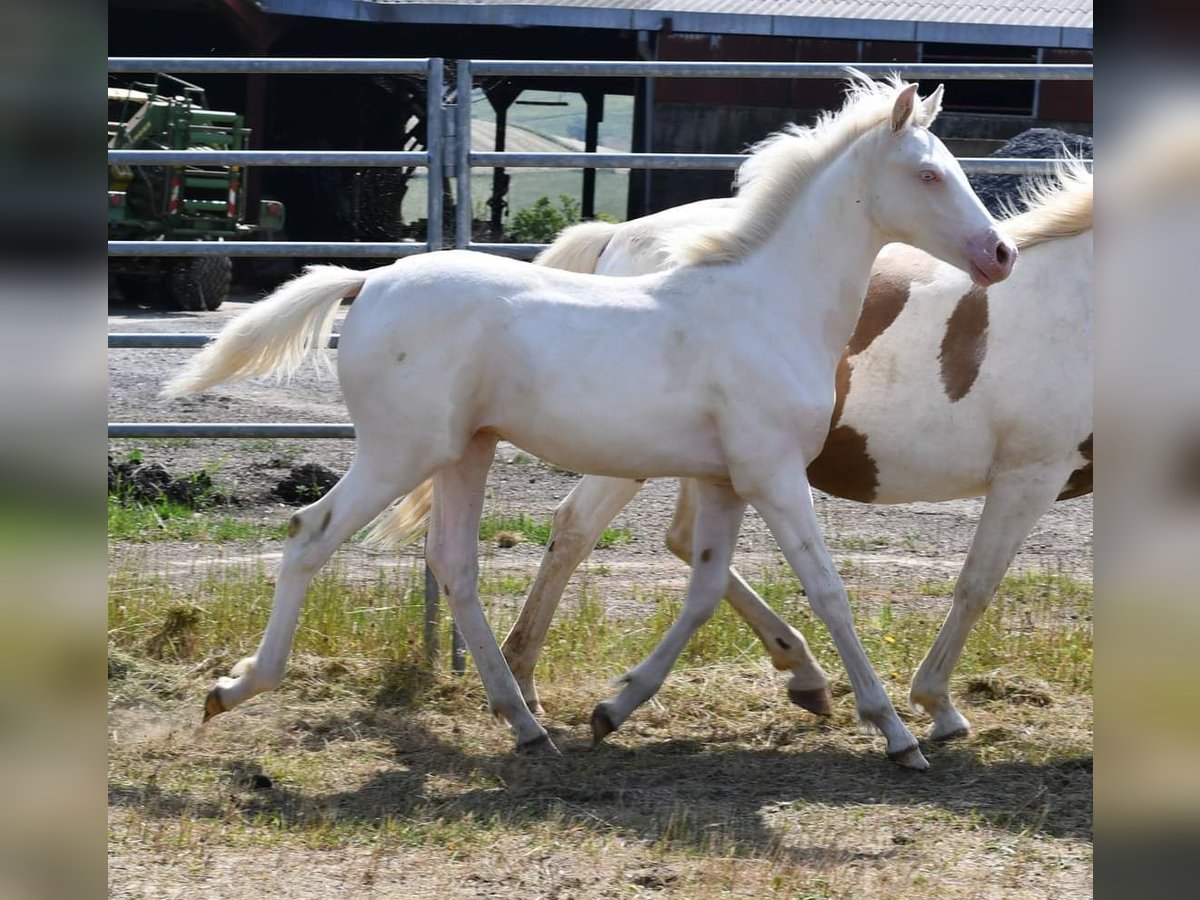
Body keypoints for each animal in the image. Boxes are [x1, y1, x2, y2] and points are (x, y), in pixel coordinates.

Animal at [166, 74, 1012, 772]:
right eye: (930, 173)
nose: (1000, 253)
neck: (767, 306)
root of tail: (370, 281)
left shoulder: (725, 480)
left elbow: (705, 587)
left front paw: (617, 706)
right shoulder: (772, 474)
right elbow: (826, 588)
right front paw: (897, 733)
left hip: (466, 453)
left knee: (455, 566)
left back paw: (524, 722)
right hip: (398, 452)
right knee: (310, 535)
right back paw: (237, 687)